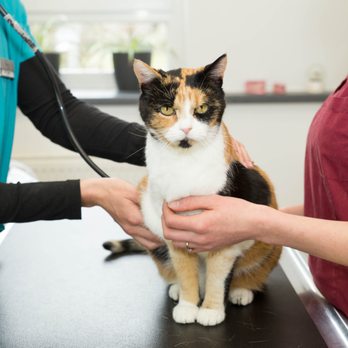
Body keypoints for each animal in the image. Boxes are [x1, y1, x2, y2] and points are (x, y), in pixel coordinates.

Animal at [102, 54, 280, 326]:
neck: (184, 164)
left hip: (268, 247)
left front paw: (211, 311)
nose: (186, 129)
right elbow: (186, 273)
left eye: (202, 109)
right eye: (167, 109)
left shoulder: (225, 236)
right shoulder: (172, 231)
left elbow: (218, 277)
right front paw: (187, 306)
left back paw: (240, 291)